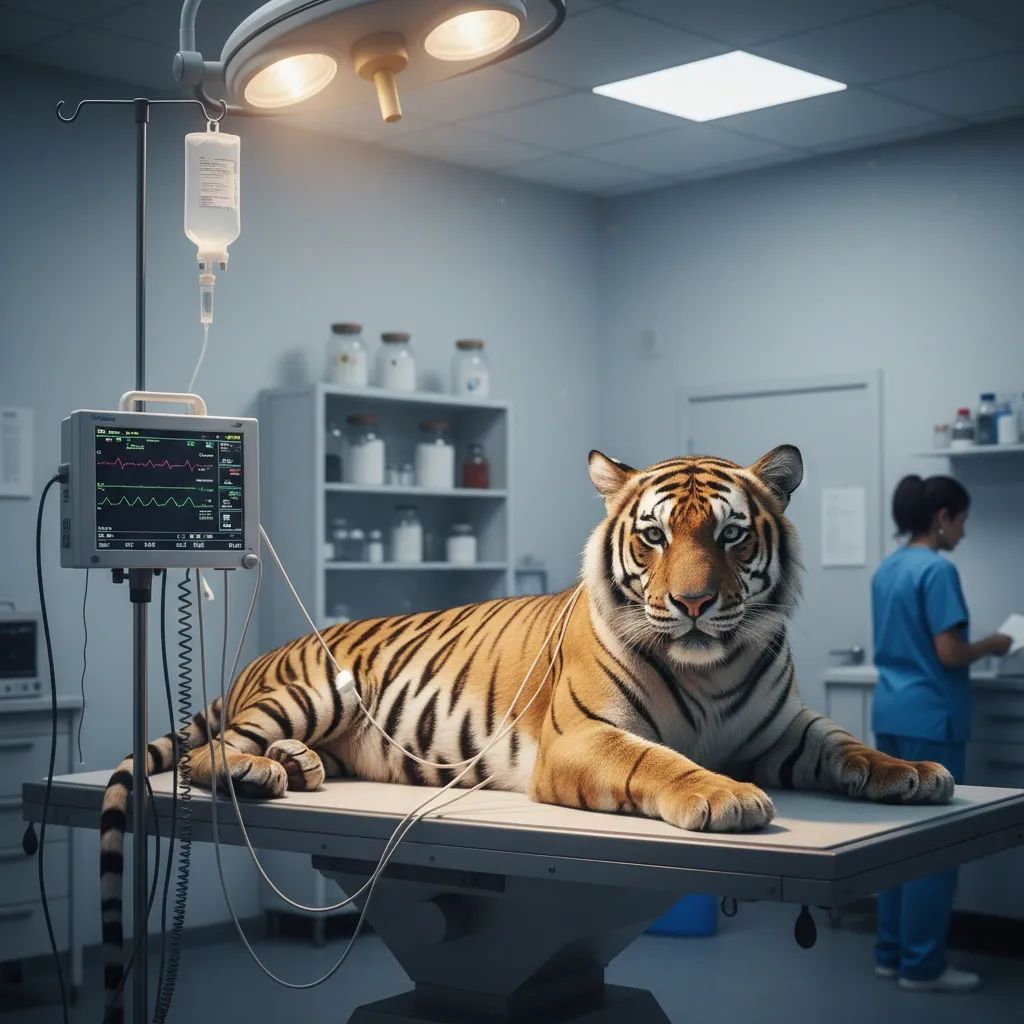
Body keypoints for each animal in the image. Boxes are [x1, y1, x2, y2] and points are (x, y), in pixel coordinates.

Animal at [98, 444, 954, 1017]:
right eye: (653, 537)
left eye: (731, 535)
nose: (692, 605)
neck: (709, 668)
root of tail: (261, 657)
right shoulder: (586, 738)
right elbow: (662, 763)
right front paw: (725, 796)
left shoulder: (786, 731)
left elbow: (849, 745)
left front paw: (914, 772)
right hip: (312, 691)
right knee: (207, 755)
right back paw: (260, 772)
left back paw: (299, 768)